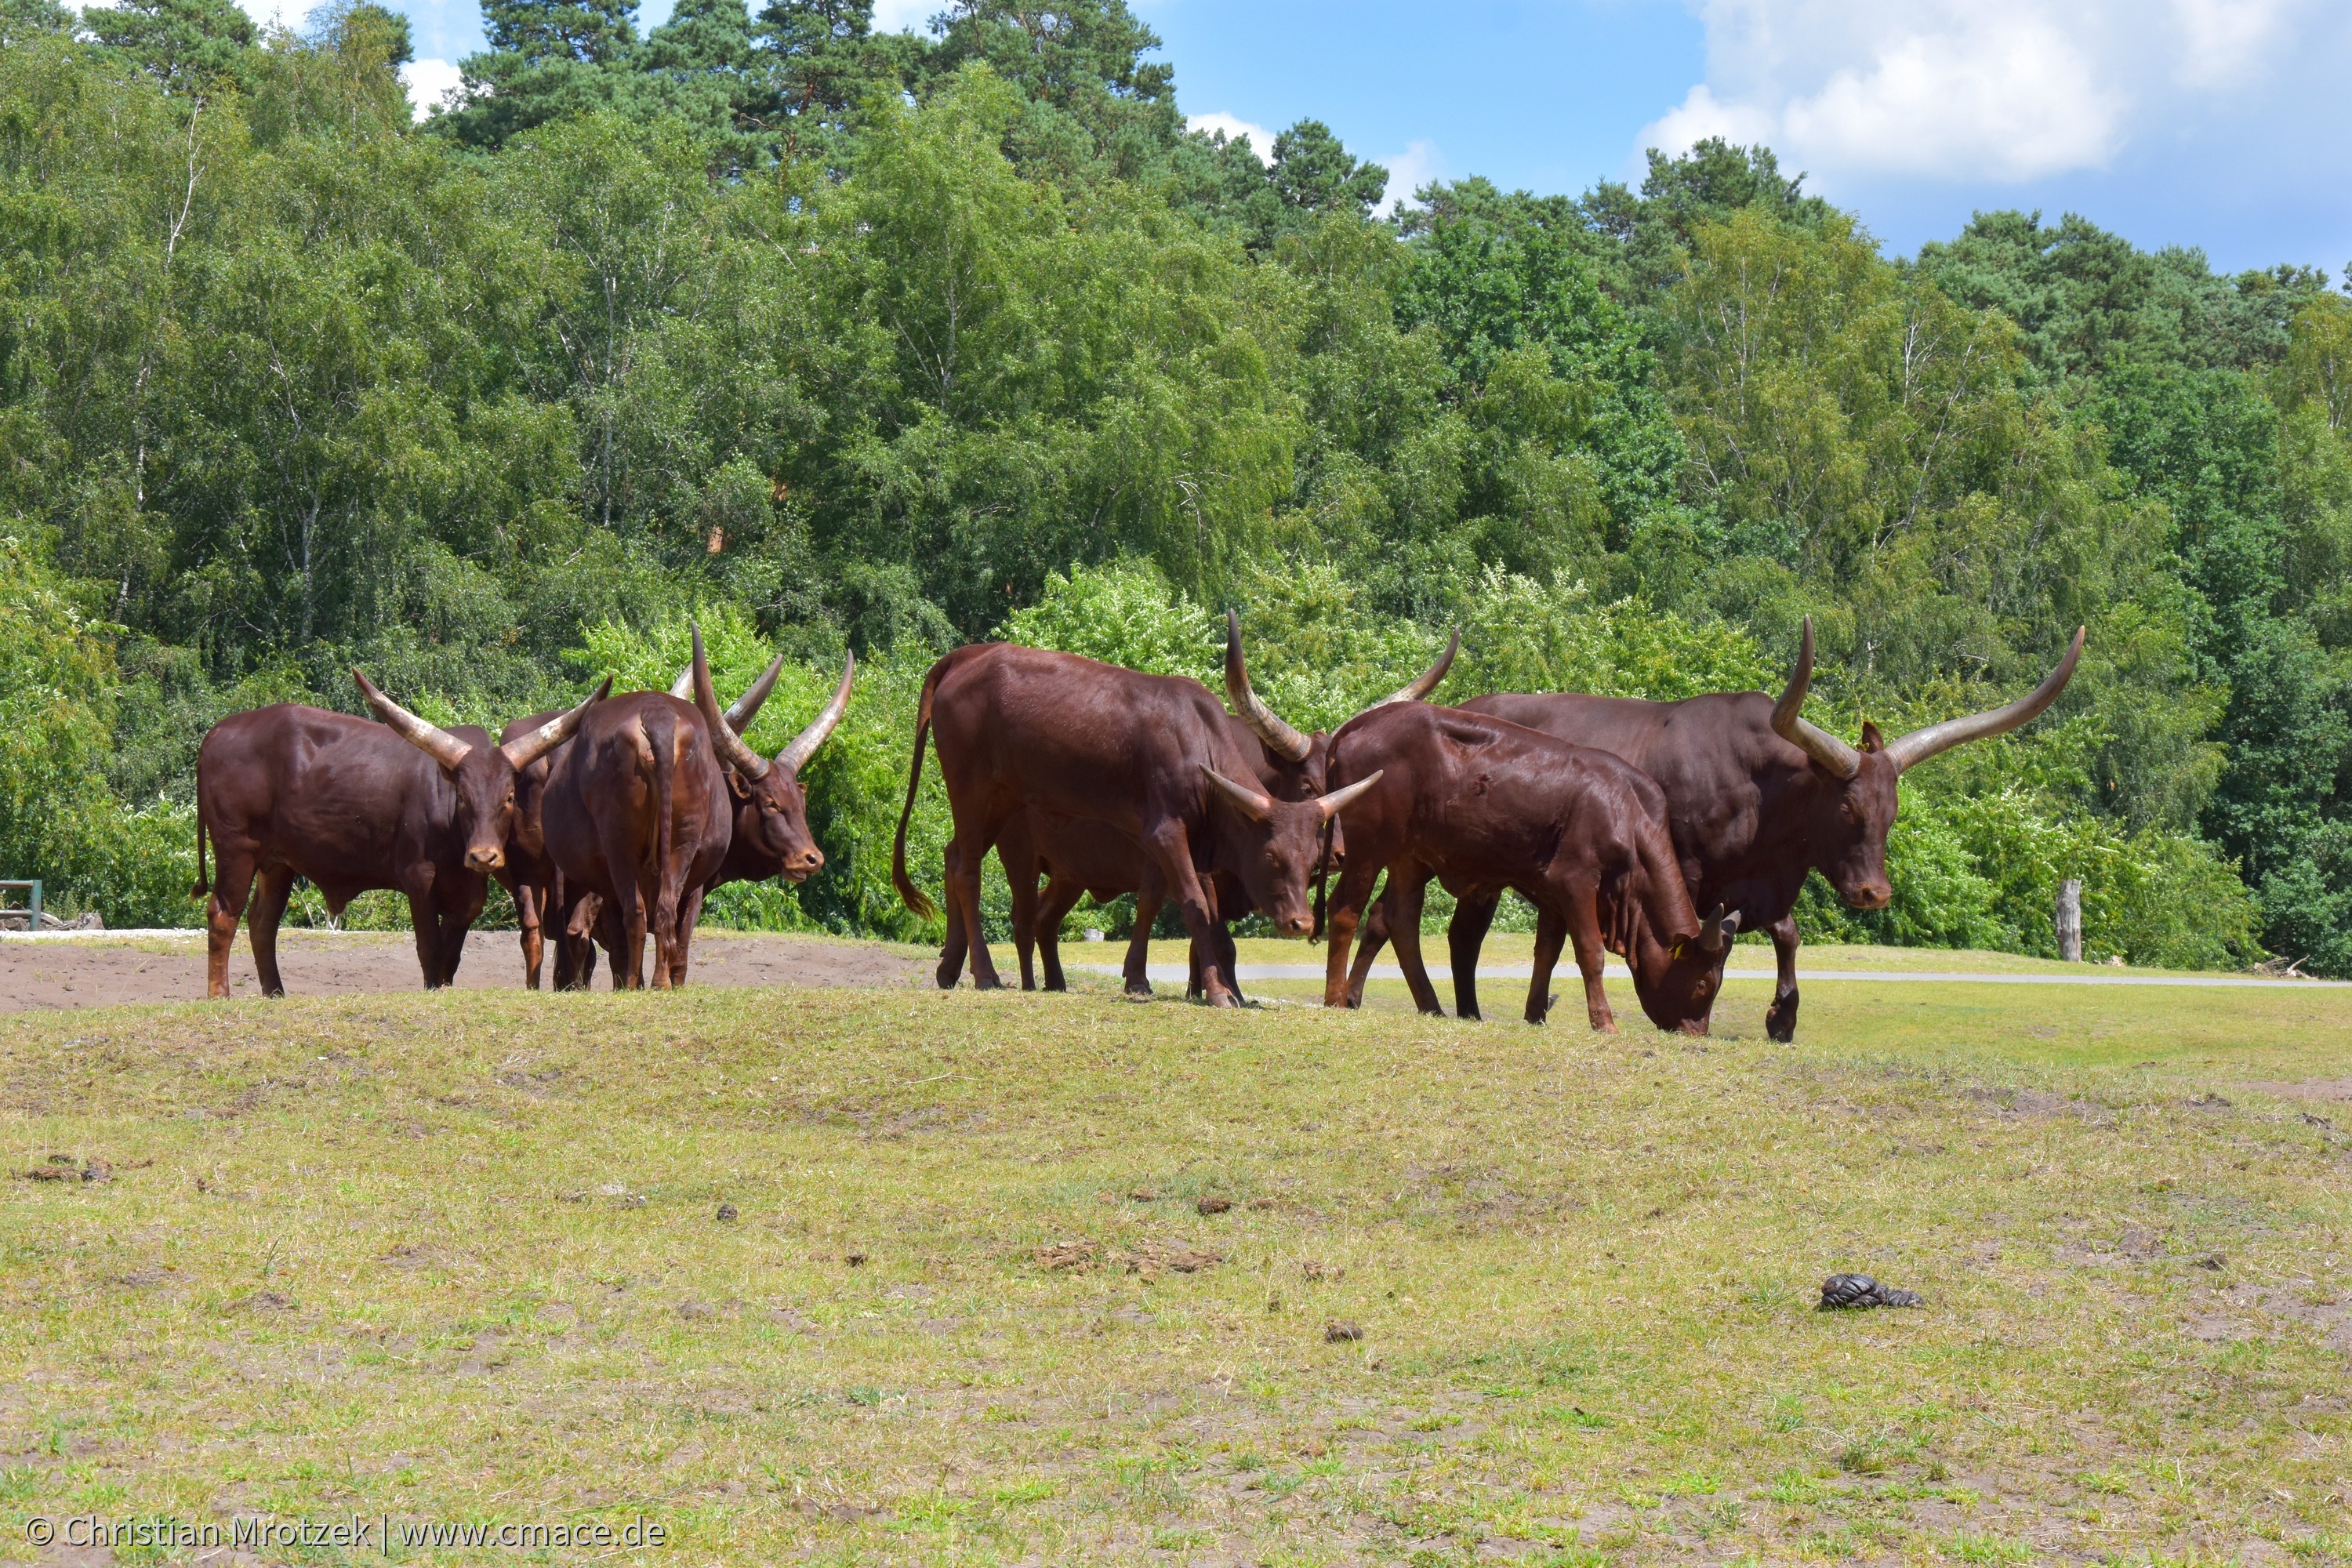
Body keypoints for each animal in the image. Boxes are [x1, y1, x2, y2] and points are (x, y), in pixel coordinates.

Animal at [191, 672, 607, 992]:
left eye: (508, 797)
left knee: (262, 924)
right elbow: (430, 949)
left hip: (276, 862)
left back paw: (275, 994)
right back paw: (219, 994)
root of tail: (218, 732)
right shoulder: (418, 878)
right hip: (236, 849)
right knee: (222, 915)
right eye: (463, 797)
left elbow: (451, 954)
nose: (483, 856)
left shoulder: (468, 896)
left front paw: (442, 989)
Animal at [1327, 700, 1712, 1029]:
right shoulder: (1576, 881)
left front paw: (1536, 1015)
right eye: (1703, 984)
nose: (1697, 1033)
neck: (1625, 812)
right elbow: (1591, 952)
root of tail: (1356, 726)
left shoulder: (1555, 891)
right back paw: (1336, 998)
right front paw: (1604, 1023)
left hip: (1409, 857)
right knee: (1345, 909)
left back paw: (1432, 1006)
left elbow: (1547, 953)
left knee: (1402, 922)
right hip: (1367, 848)